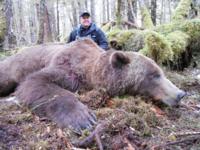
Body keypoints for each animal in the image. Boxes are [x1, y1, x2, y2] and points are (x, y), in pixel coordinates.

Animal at [0, 38, 186, 134]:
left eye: (161, 72)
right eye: (154, 75)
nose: (180, 94)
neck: (90, 72)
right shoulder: (68, 67)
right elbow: (35, 82)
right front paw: (83, 118)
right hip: (11, 68)